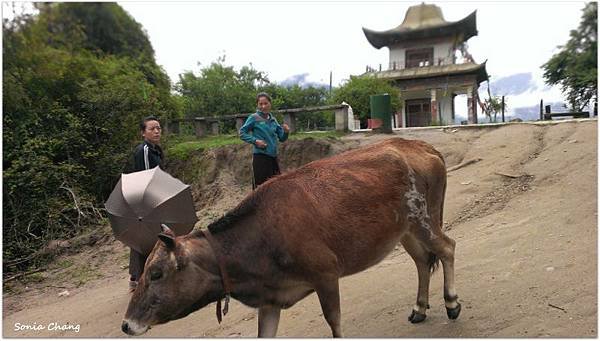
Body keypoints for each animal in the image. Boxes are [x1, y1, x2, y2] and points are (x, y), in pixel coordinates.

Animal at [120, 137, 460, 336]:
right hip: (404, 230)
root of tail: (420, 146)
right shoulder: (270, 301)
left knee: (447, 247)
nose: (126, 324)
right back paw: (419, 308)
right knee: (422, 261)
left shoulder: (325, 274)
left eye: (156, 273)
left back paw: (452, 302)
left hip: (424, 219)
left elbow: (334, 323)